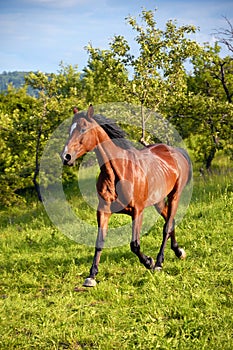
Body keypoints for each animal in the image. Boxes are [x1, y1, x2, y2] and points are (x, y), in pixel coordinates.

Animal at [61, 104, 191, 288]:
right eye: (69, 130)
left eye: (83, 129)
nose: (66, 157)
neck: (118, 172)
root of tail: (176, 152)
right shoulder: (103, 211)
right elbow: (99, 242)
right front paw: (91, 276)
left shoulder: (138, 211)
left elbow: (134, 244)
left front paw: (149, 262)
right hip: (158, 201)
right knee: (170, 221)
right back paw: (178, 251)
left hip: (175, 195)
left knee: (166, 227)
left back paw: (159, 262)